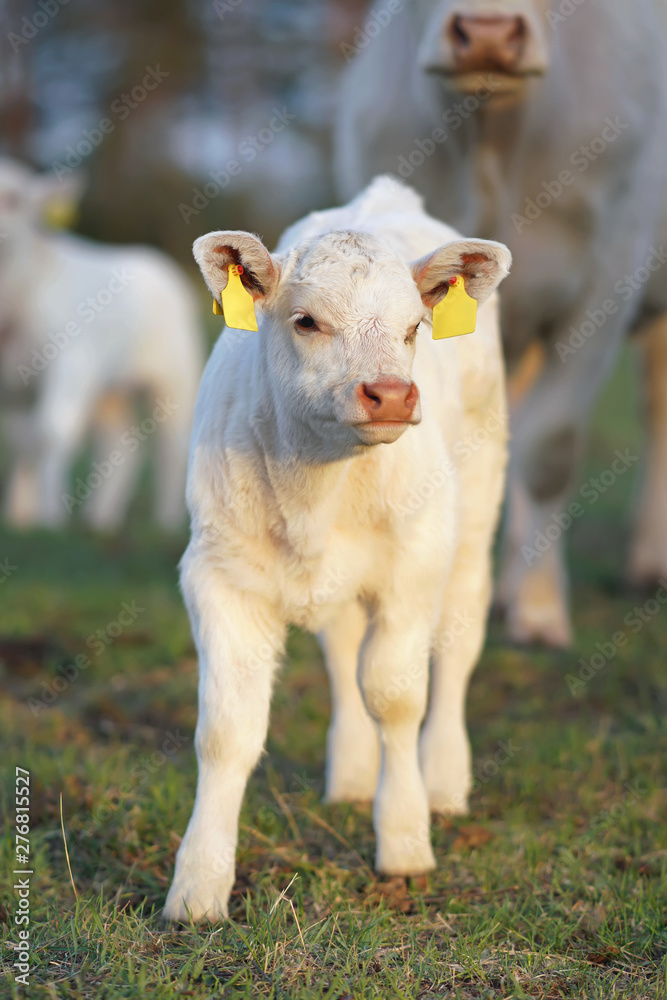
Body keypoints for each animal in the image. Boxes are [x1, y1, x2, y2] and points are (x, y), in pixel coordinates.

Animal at [0, 157, 204, 532]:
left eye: (14, 201)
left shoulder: (69, 362)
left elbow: (50, 433)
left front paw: (51, 517)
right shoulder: (11, 386)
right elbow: (22, 441)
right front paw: (19, 516)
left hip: (175, 378)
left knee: (172, 446)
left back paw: (166, 520)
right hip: (108, 389)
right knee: (121, 446)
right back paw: (101, 518)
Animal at [166, 178, 512, 920]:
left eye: (413, 328)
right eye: (306, 322)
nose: (392, 394)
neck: (316, 489)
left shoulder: (414, 568)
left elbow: (396, 697)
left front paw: (404, 841)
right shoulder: (217, 575)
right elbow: (227, 730)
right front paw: (198, 886)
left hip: (474, 514)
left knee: (459, 643)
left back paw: (445, 781)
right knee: (342, 651)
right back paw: (352, 776)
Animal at [336, 0, 667, 648]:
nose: (488, 33)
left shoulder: (607, 283)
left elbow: (549, 449)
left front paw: (539, 613)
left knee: (656, 409)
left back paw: (648, 563)